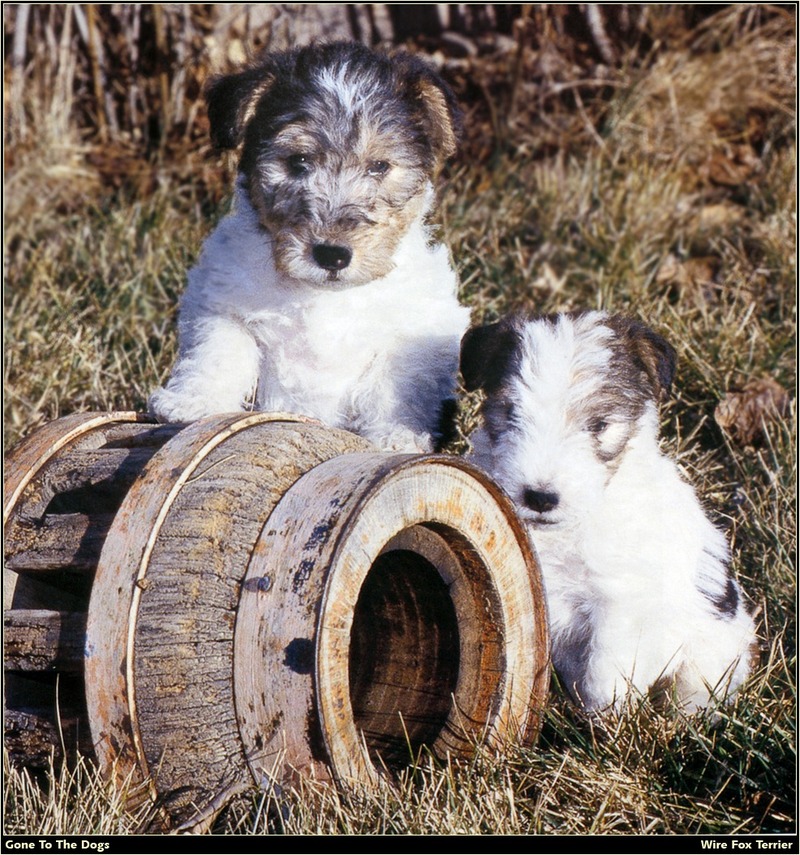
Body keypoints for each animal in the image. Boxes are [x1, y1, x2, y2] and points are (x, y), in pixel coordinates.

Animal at [150, 40, 468, 452]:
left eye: (380, 166)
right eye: (298, 161)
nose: (332, 255)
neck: (324, 296)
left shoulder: (417, 329)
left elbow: (397, 385)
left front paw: (396, 439)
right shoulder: (221, 302)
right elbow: (217, 353)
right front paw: (191, 404)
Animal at [460, 310, 760, 712]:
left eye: (599, 425)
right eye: (511, 415)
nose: (540, 497)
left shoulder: (619, 601)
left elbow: (605, 670)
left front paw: (606, 717)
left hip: (712, 650)